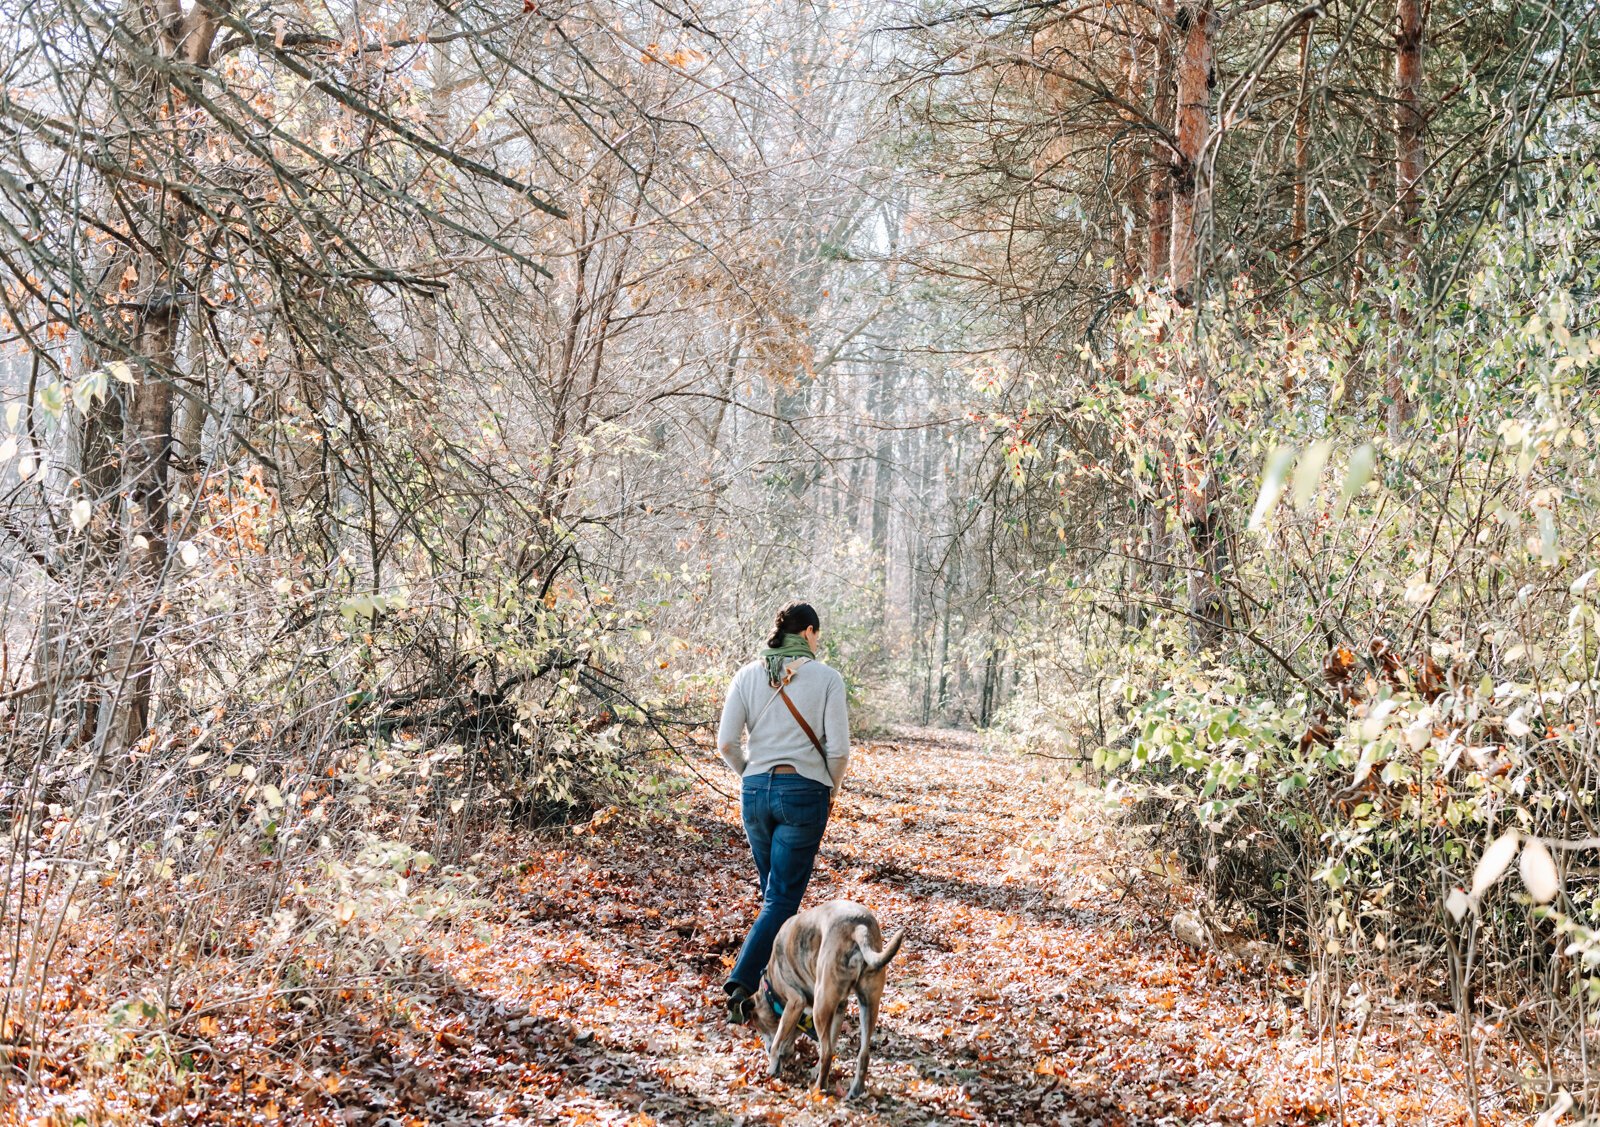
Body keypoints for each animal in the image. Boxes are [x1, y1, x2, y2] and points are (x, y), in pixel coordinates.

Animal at [748, 902, 902, 1094]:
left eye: (758, 1026)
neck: (770, 984)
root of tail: (859, 926)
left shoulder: (795, 1002)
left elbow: (778, 1041)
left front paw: (772, 1066)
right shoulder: (839, 1007)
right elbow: (831, 1039)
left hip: (821, 1006)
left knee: (827, 1052)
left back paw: (818, 1089)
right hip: (868, 1003)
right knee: (862, 1053)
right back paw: (855, 1090)